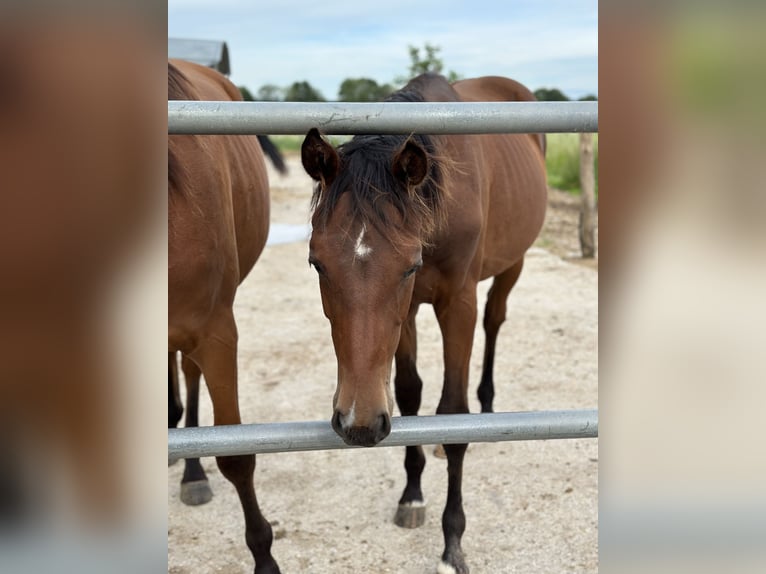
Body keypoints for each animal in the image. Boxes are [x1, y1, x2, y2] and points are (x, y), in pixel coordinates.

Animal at [304, 74, 548, 572]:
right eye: (317, 264)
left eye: (409, 266)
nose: (357, 424)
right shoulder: (408, 312)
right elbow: (410, 394)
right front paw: (412, 496)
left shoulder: (456, 303)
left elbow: (452, 416)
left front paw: (452, 544)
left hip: (511, 266)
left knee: (495, 321)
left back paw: (488, 408)